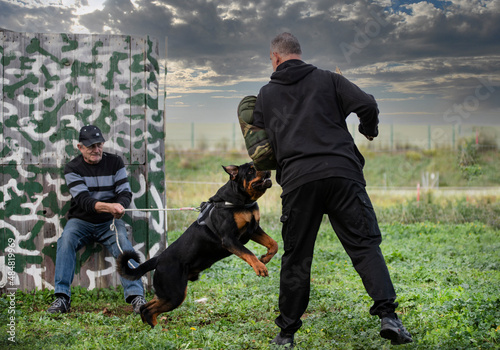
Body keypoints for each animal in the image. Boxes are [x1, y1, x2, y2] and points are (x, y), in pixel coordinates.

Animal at [119, 163, 280, 326]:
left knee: (146, 307)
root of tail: (158, 259)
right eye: (251, 170)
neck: (242, 201)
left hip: (167, 293)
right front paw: (260, 267)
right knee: (149, 310)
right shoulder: (230, 239)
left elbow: (274, 243)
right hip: (175, 293)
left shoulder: (254, 230)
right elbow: (249, 253)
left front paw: (266, 258)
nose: (267, 169)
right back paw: (158, 329)